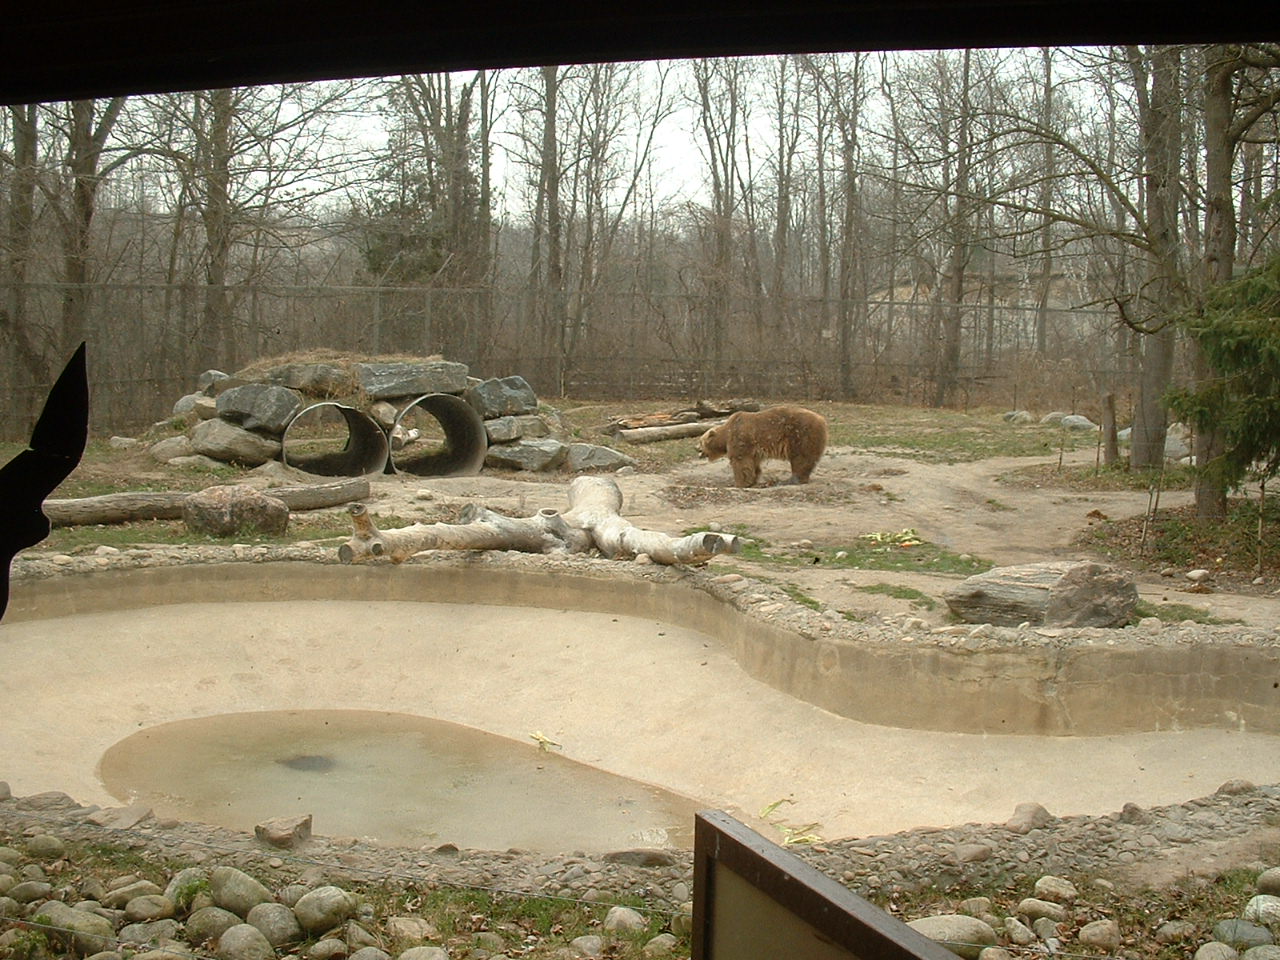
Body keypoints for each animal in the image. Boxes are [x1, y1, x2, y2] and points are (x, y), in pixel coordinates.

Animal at [697, 404, 828, 487]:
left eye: (700, 441)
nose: (696, 448)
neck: (726, 434)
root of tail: (822, 419)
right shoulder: (752, 449)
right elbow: (753, 464)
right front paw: (752, 480)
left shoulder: (740, 439)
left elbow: (740, 461)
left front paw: (739, 483)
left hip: (800, 434)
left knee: (800, 458)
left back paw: (792, 479)